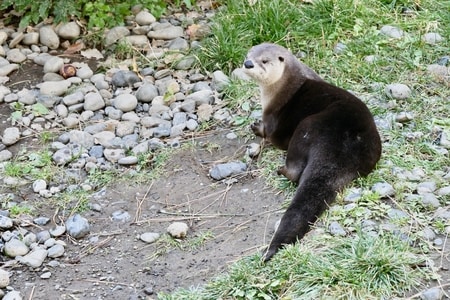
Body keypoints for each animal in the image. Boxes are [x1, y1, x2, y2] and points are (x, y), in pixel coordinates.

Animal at [244, 43, 382, 262]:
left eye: (264, 60)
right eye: (248, 54)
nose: (247, 63)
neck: (283, 87)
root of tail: (342, 145)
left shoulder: (271, 117)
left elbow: (268, 133)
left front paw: (256, 127)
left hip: (306, 128)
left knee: (294, 170)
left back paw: (281, 170)